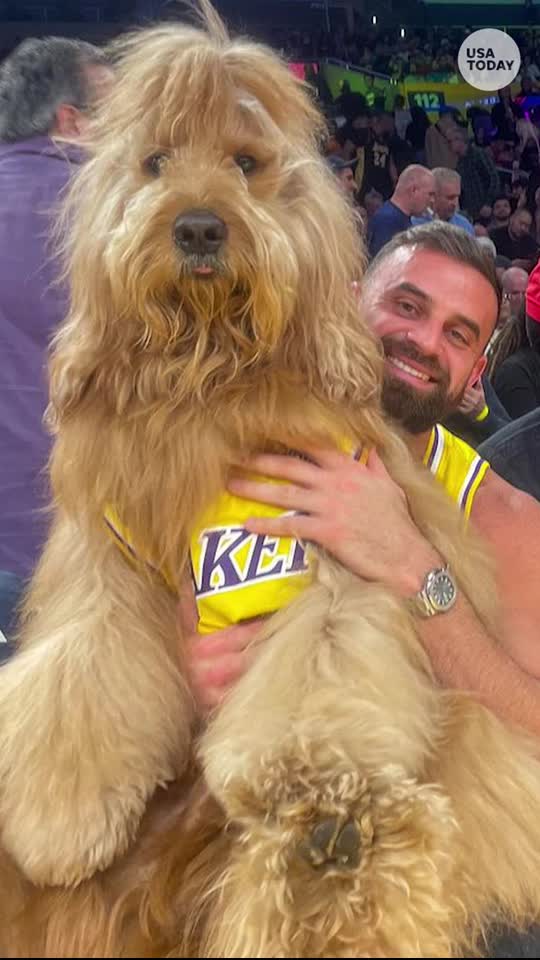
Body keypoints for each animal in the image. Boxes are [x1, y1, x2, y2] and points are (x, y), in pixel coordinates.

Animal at [1, 3, 540, 956]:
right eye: (155, 162)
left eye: (246, 164)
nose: (198, 227)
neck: (208, 380)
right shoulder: (109, 553)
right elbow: (84, 662)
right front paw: (60, 808)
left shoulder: (322, 545)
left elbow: (324, 656)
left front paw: (315, 774)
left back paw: (332, 851)